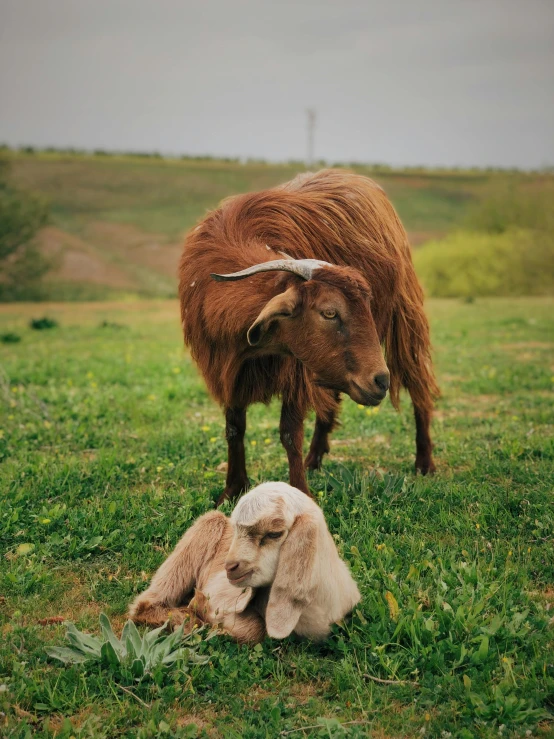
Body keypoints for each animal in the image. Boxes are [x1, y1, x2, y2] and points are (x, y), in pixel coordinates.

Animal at [130, 486, 362, 640]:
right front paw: (199, 609)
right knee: (145, 605)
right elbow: (254, 629)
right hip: (206, 528)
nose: (229, 567)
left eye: (274, 533)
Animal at [179, 168, 438, 506]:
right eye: (329, 312)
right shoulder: (227, 369)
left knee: (419, 387)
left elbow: (290, 433)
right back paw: (314, 459)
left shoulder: (294, 370)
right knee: (331, 402)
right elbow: (234, 428)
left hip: (404, 322)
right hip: (331, 366)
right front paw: (232, 491)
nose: (381, 380)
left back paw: (425, 462)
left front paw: (300, 493)